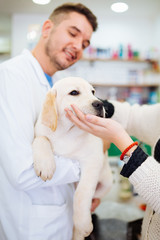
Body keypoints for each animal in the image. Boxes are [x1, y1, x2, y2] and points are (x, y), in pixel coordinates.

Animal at [32, 77, 112, 240]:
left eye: (93, 92)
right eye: (74, 93)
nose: (99, 103)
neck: (67, 131)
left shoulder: (92, 161)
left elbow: (81, 195)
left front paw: (83, 224)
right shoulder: (40, 132)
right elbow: (42, 139)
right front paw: (45, 165)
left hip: (106, 184)